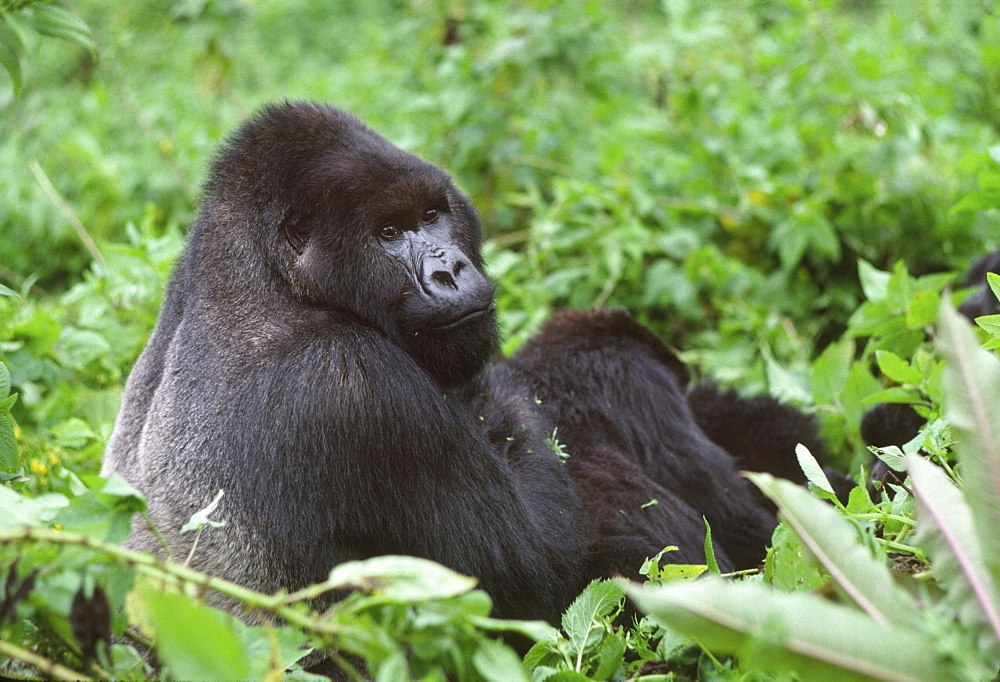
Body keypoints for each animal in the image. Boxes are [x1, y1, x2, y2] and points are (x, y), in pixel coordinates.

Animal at [101, 101, 788, 628]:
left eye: (432, 214)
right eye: (387, 231)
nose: (449, 270)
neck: (269, 279)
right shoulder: (355, 389)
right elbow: (534, 570)